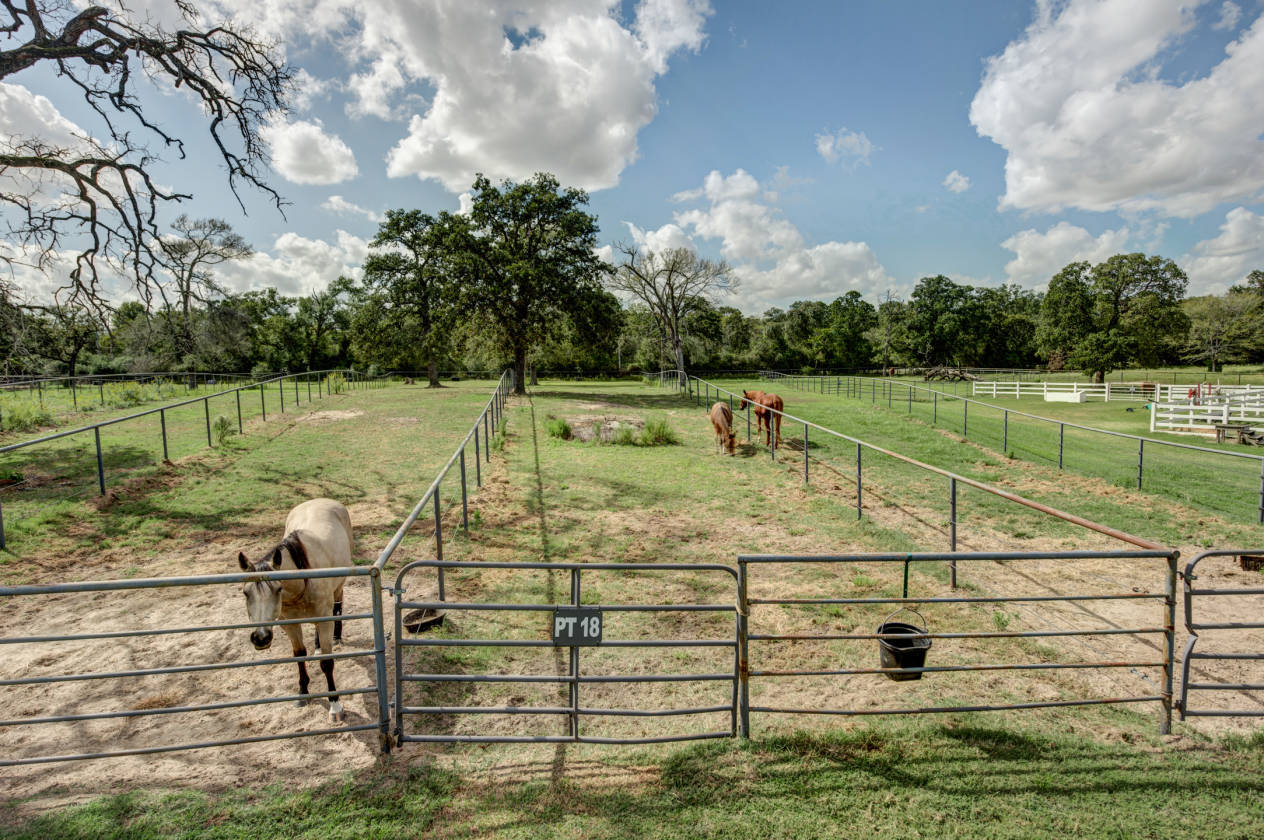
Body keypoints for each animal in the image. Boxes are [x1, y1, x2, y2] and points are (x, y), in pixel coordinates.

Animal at [237, 498, 353, 722]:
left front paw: (335, 706)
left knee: (338, 605)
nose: (261, 638)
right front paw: (303, 693)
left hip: (338, 588)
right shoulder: (289, 624)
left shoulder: (324, 618)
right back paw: (317, 645)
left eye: (278, 589)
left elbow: (327, 663)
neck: (303, 577)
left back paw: (336, 637)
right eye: (246, 593)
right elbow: (299, 655)